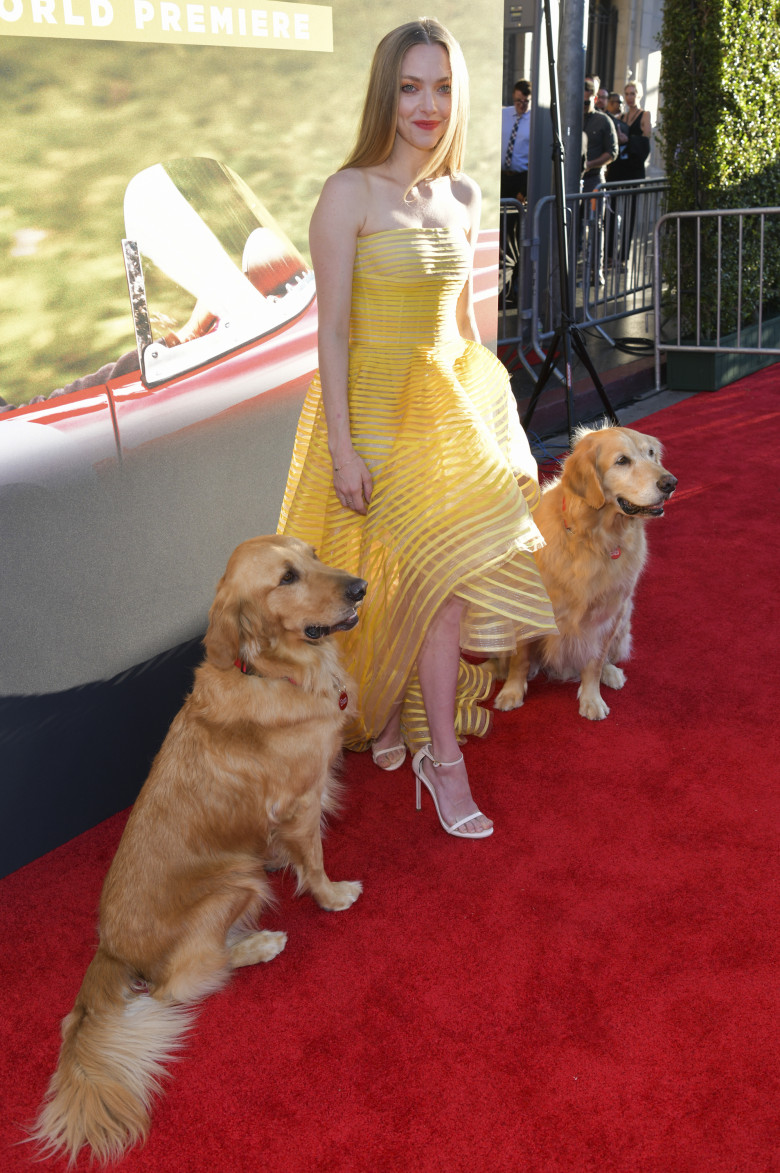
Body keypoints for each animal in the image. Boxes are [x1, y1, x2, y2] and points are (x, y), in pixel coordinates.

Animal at [31, 537, 365, 1163]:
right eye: (287, 577)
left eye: (312, 554)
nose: (359, 587)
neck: (275, 671)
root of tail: (109, 947)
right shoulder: (302, 802)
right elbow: (313, 859)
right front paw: (332, 895)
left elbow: (289, 851)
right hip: (237, 881)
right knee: (179, 984)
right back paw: (259, 944)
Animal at [494, 426, 670, 717]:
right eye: (622, 461)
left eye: (651, 453)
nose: (671, 483)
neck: (594, 538)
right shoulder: (529, 606)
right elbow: (520, 659)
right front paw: (512, 691)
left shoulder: (608, 613)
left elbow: (595, 661)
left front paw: (592, 698)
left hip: (625, 616)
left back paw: (612, 674)